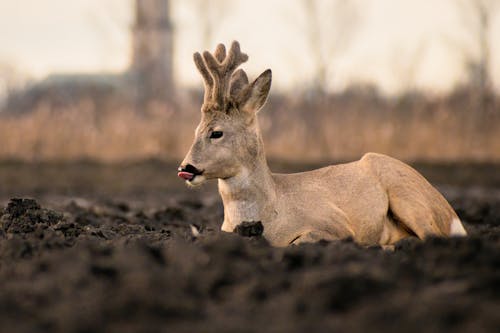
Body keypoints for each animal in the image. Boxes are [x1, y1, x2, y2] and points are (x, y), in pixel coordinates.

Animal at [178, 40, 466, 246]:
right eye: (195, 130)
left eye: (216, 132)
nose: (186, 167)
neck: (272, 209)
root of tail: (452, 215)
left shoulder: (336, 224)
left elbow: (300, 241)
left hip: (407, 196)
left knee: (430, 236)